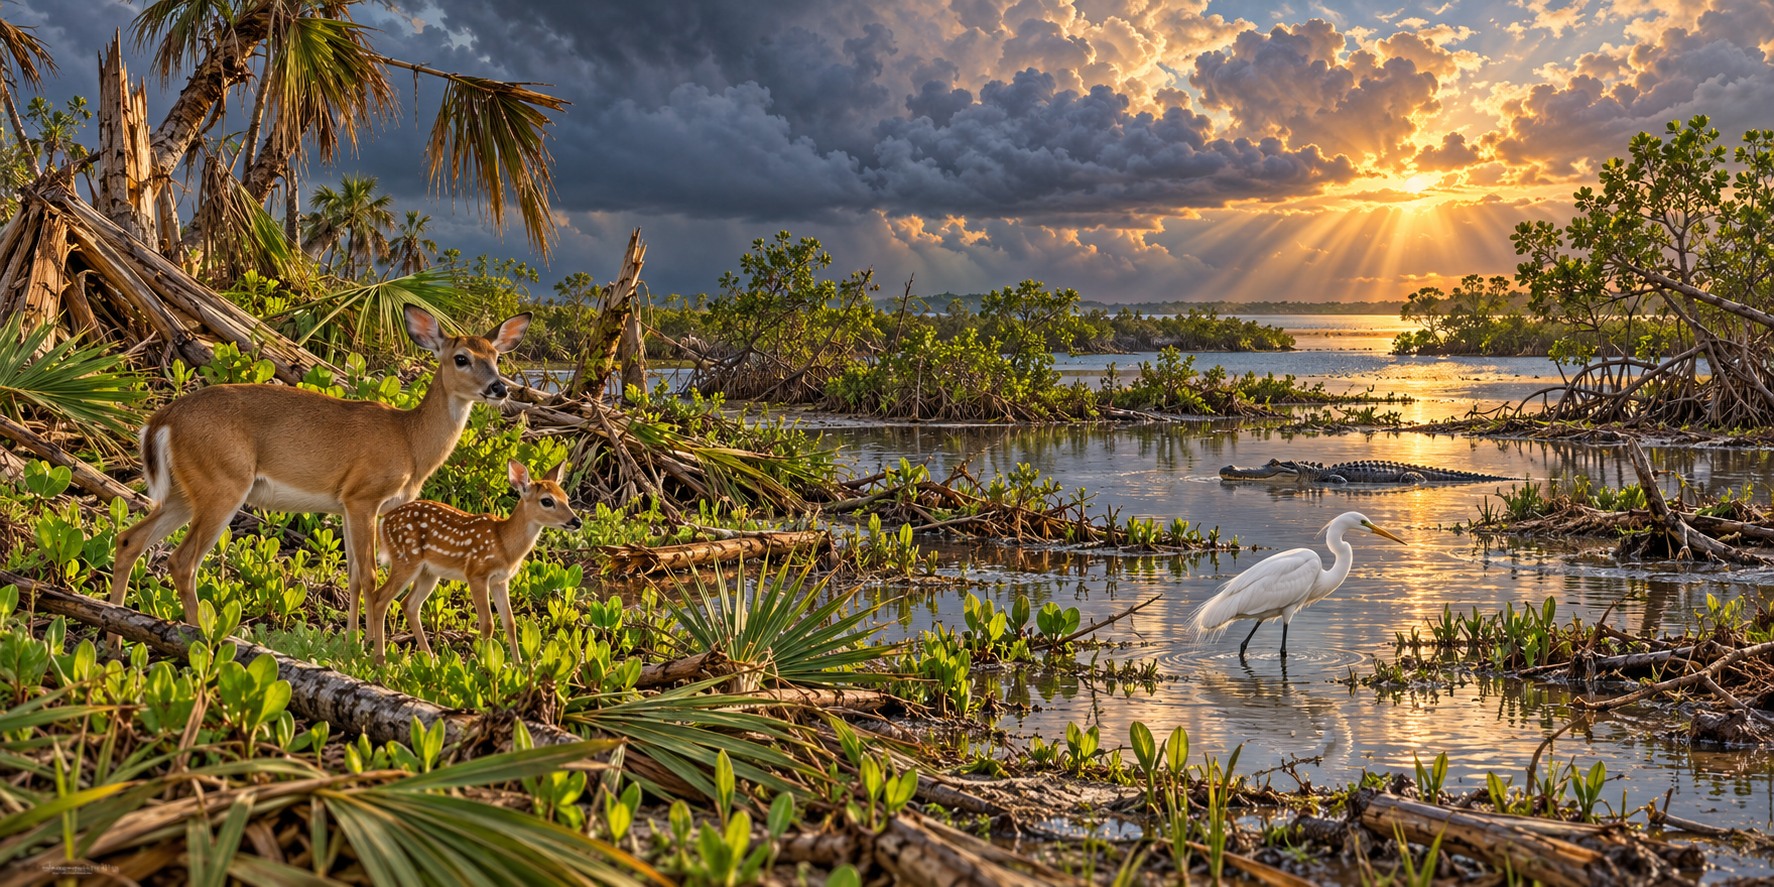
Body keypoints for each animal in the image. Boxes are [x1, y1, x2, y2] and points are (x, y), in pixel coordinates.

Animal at [110, 306, 531, 641]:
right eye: (461, 358)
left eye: (496, 356)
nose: (500, 388)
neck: (410, 441)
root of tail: (162, 419)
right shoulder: (364, 496)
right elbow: (371, 576)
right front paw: (372, 652)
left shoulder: (344, 505)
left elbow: (354, 576)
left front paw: (351, 645)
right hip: (223, 484)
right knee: (182, 562)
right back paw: (199, 635)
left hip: (184, 490)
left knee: (130, 539)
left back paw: (115, 628)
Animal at [367, 460, 581, 664]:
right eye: (547, 501)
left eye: (566, 498)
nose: (576, 521)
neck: (504, 544)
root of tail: (383, 522)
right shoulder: (477, 573)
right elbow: (487, 623)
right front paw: (487, 664)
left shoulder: (500, 580)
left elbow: (510, 622)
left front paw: (519, 665)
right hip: (405, 559)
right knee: (380, 598)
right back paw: (380, 661)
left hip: (429, 573)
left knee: (409, 605)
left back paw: (430, 659)